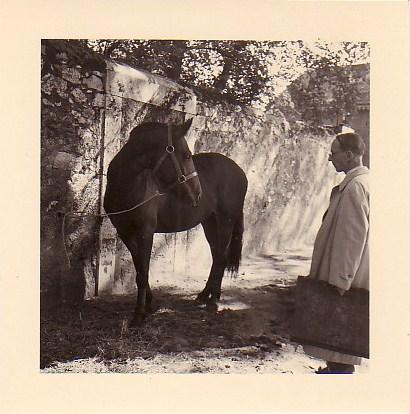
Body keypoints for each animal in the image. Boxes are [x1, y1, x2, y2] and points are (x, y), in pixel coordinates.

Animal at [104, 117, 248, 326]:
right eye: (187, 156)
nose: (198, 194)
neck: (127, 186)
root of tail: (240, 171)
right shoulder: (125, 232)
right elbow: (140, 267)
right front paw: (148, 304)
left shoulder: (145, 232)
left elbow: (142, 272)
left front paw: (139, 315)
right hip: (210, 223)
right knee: (216, 256)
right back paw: (205, 295)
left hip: (225, 221)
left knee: (221, 257)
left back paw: (213, 301)